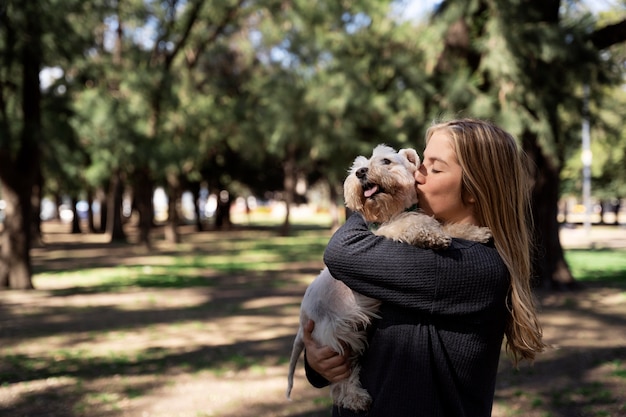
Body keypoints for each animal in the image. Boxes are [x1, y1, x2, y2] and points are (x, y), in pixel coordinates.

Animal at [286, 145, 490, 412]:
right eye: (356, 166)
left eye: (386, 161)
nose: (361, 172)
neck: (390, 211)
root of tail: (302, 321)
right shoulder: (385, 233)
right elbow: (413, 223)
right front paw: (432, 236)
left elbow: (448, 226)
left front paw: (477, 233)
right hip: (337, 338)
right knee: (340, 383)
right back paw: (357, 398)